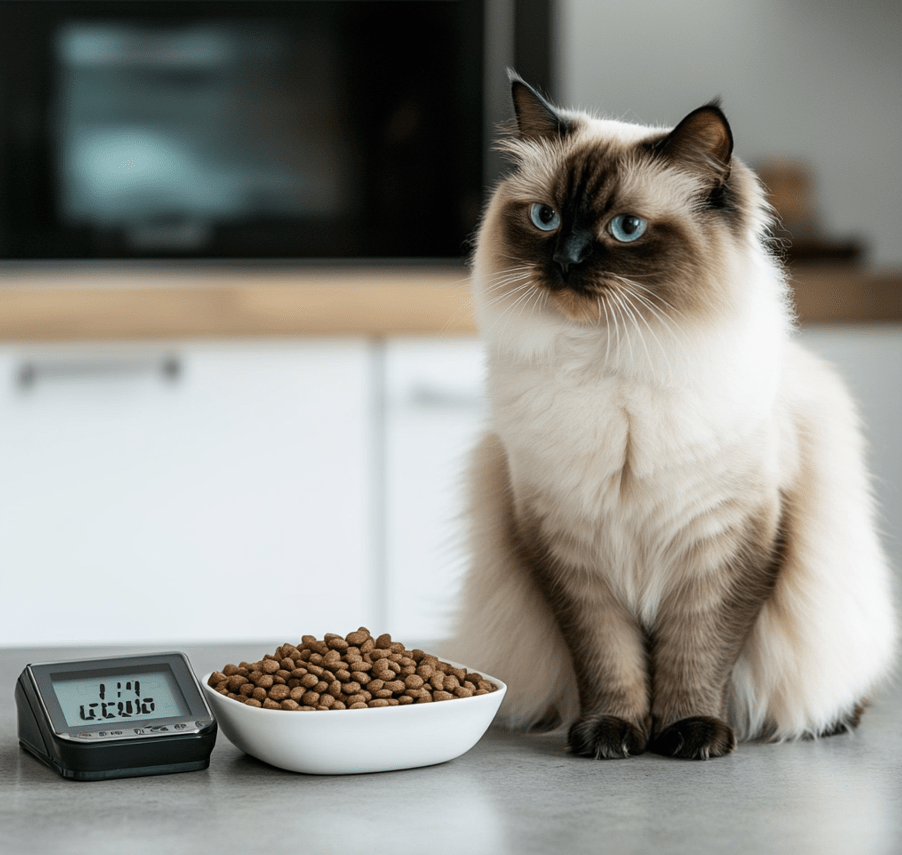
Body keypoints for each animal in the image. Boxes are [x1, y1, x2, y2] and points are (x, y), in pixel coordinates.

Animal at [448, 75, 900, 764]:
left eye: (626, 228)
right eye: (545, 218)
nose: (565, 262)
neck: (612, 364)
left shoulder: (727, 543)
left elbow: (697, 654)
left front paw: (692, 735)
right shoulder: (568, 551)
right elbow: (608, 660)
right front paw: (611, 735)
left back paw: (831, 719)